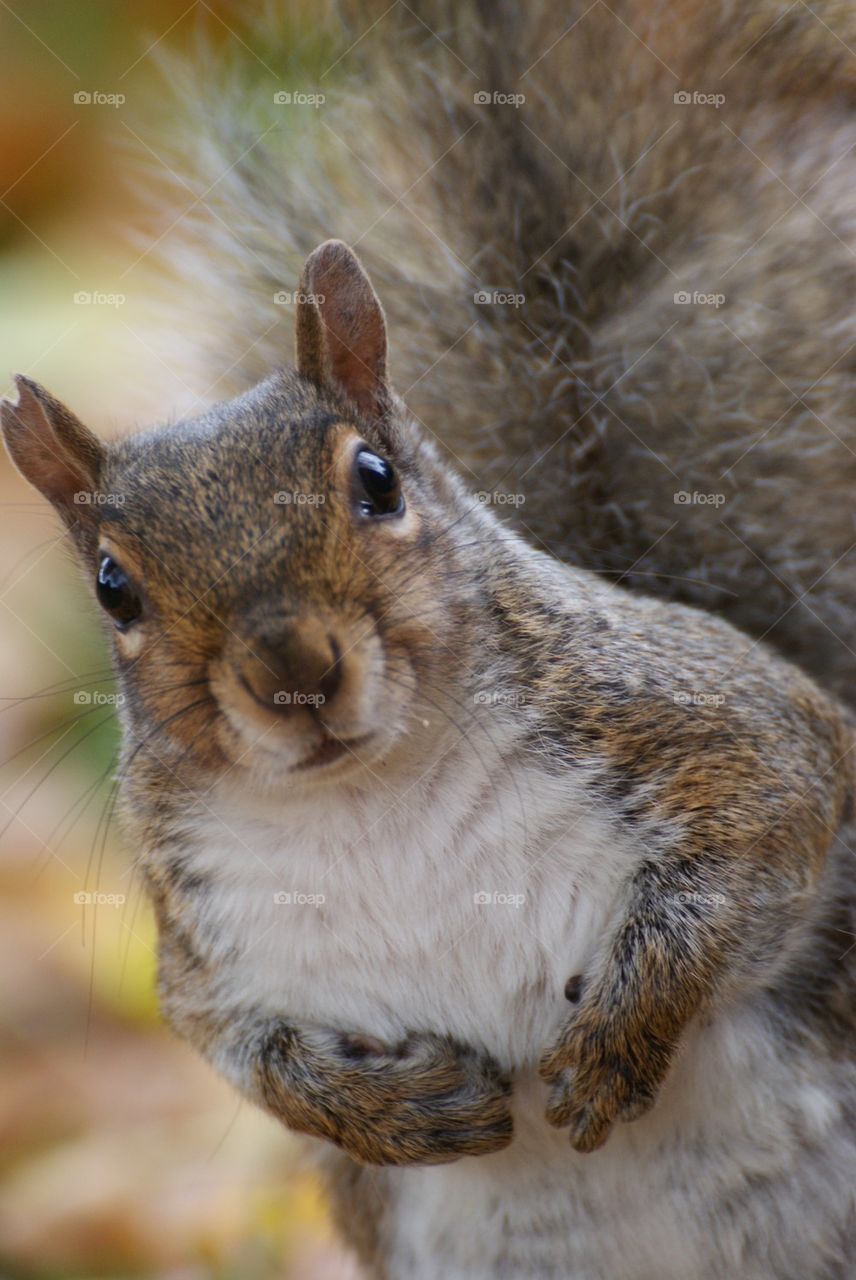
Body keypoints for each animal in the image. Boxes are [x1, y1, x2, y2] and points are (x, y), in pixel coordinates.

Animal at [3, 239, 855, 1279]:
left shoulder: (725, 724)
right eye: (112, 587)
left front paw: (617, 1038)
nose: (293, 671)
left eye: (378, 480)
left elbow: (761, 833)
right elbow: (234, 1044)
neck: (368, 793)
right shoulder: (206, 940)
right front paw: (391, 1111)